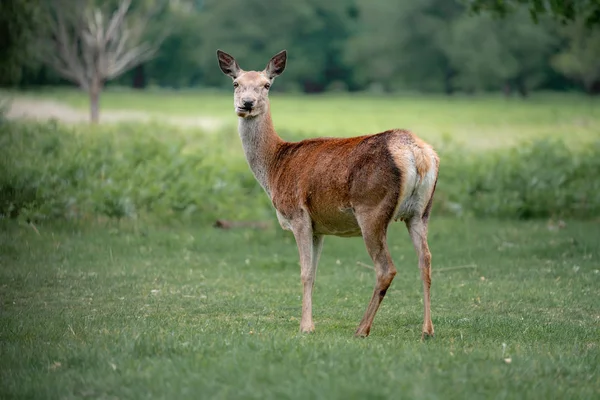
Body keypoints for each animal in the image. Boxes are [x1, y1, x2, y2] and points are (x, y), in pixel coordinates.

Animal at [218, 48, 438, 340]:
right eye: (235, 83)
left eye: (266, 85)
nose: (247, 104)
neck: (275, 167)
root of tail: (417, 153)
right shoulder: (318, 227)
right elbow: (314, 272)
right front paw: (310, 322)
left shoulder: (298, 214)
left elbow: (304, 272)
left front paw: (305, 327)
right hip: (421, 211)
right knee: (426, 261)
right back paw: (427, 330)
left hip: (372, 209)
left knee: (386, 268)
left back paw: (362, 329)